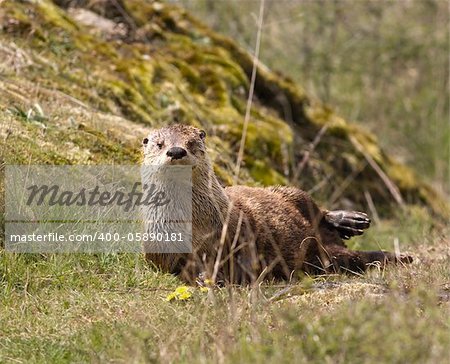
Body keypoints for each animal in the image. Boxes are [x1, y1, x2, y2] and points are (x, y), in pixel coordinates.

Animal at [142, 123, 410, 282]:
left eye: (191, 143)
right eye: (159, 144)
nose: (176, 151)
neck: (196, 223)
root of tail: (329, 246)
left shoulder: (238, 224)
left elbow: (246, 251)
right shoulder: (160, 249)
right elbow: (179, 267)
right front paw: (205, 277)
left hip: (290, 192)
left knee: (318, 210)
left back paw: (351, 221)